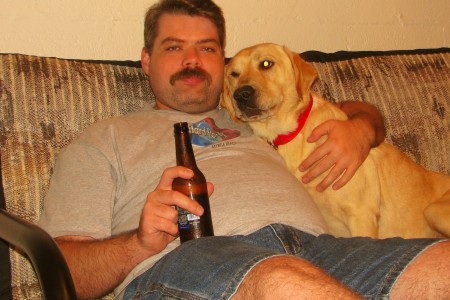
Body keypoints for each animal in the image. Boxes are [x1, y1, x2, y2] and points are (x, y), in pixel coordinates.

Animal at [222, 42, 450, 239]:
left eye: (266, 64)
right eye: (234, 74)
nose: (241, 94)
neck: (292, 134)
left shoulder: (361, 213)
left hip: (434, 211)